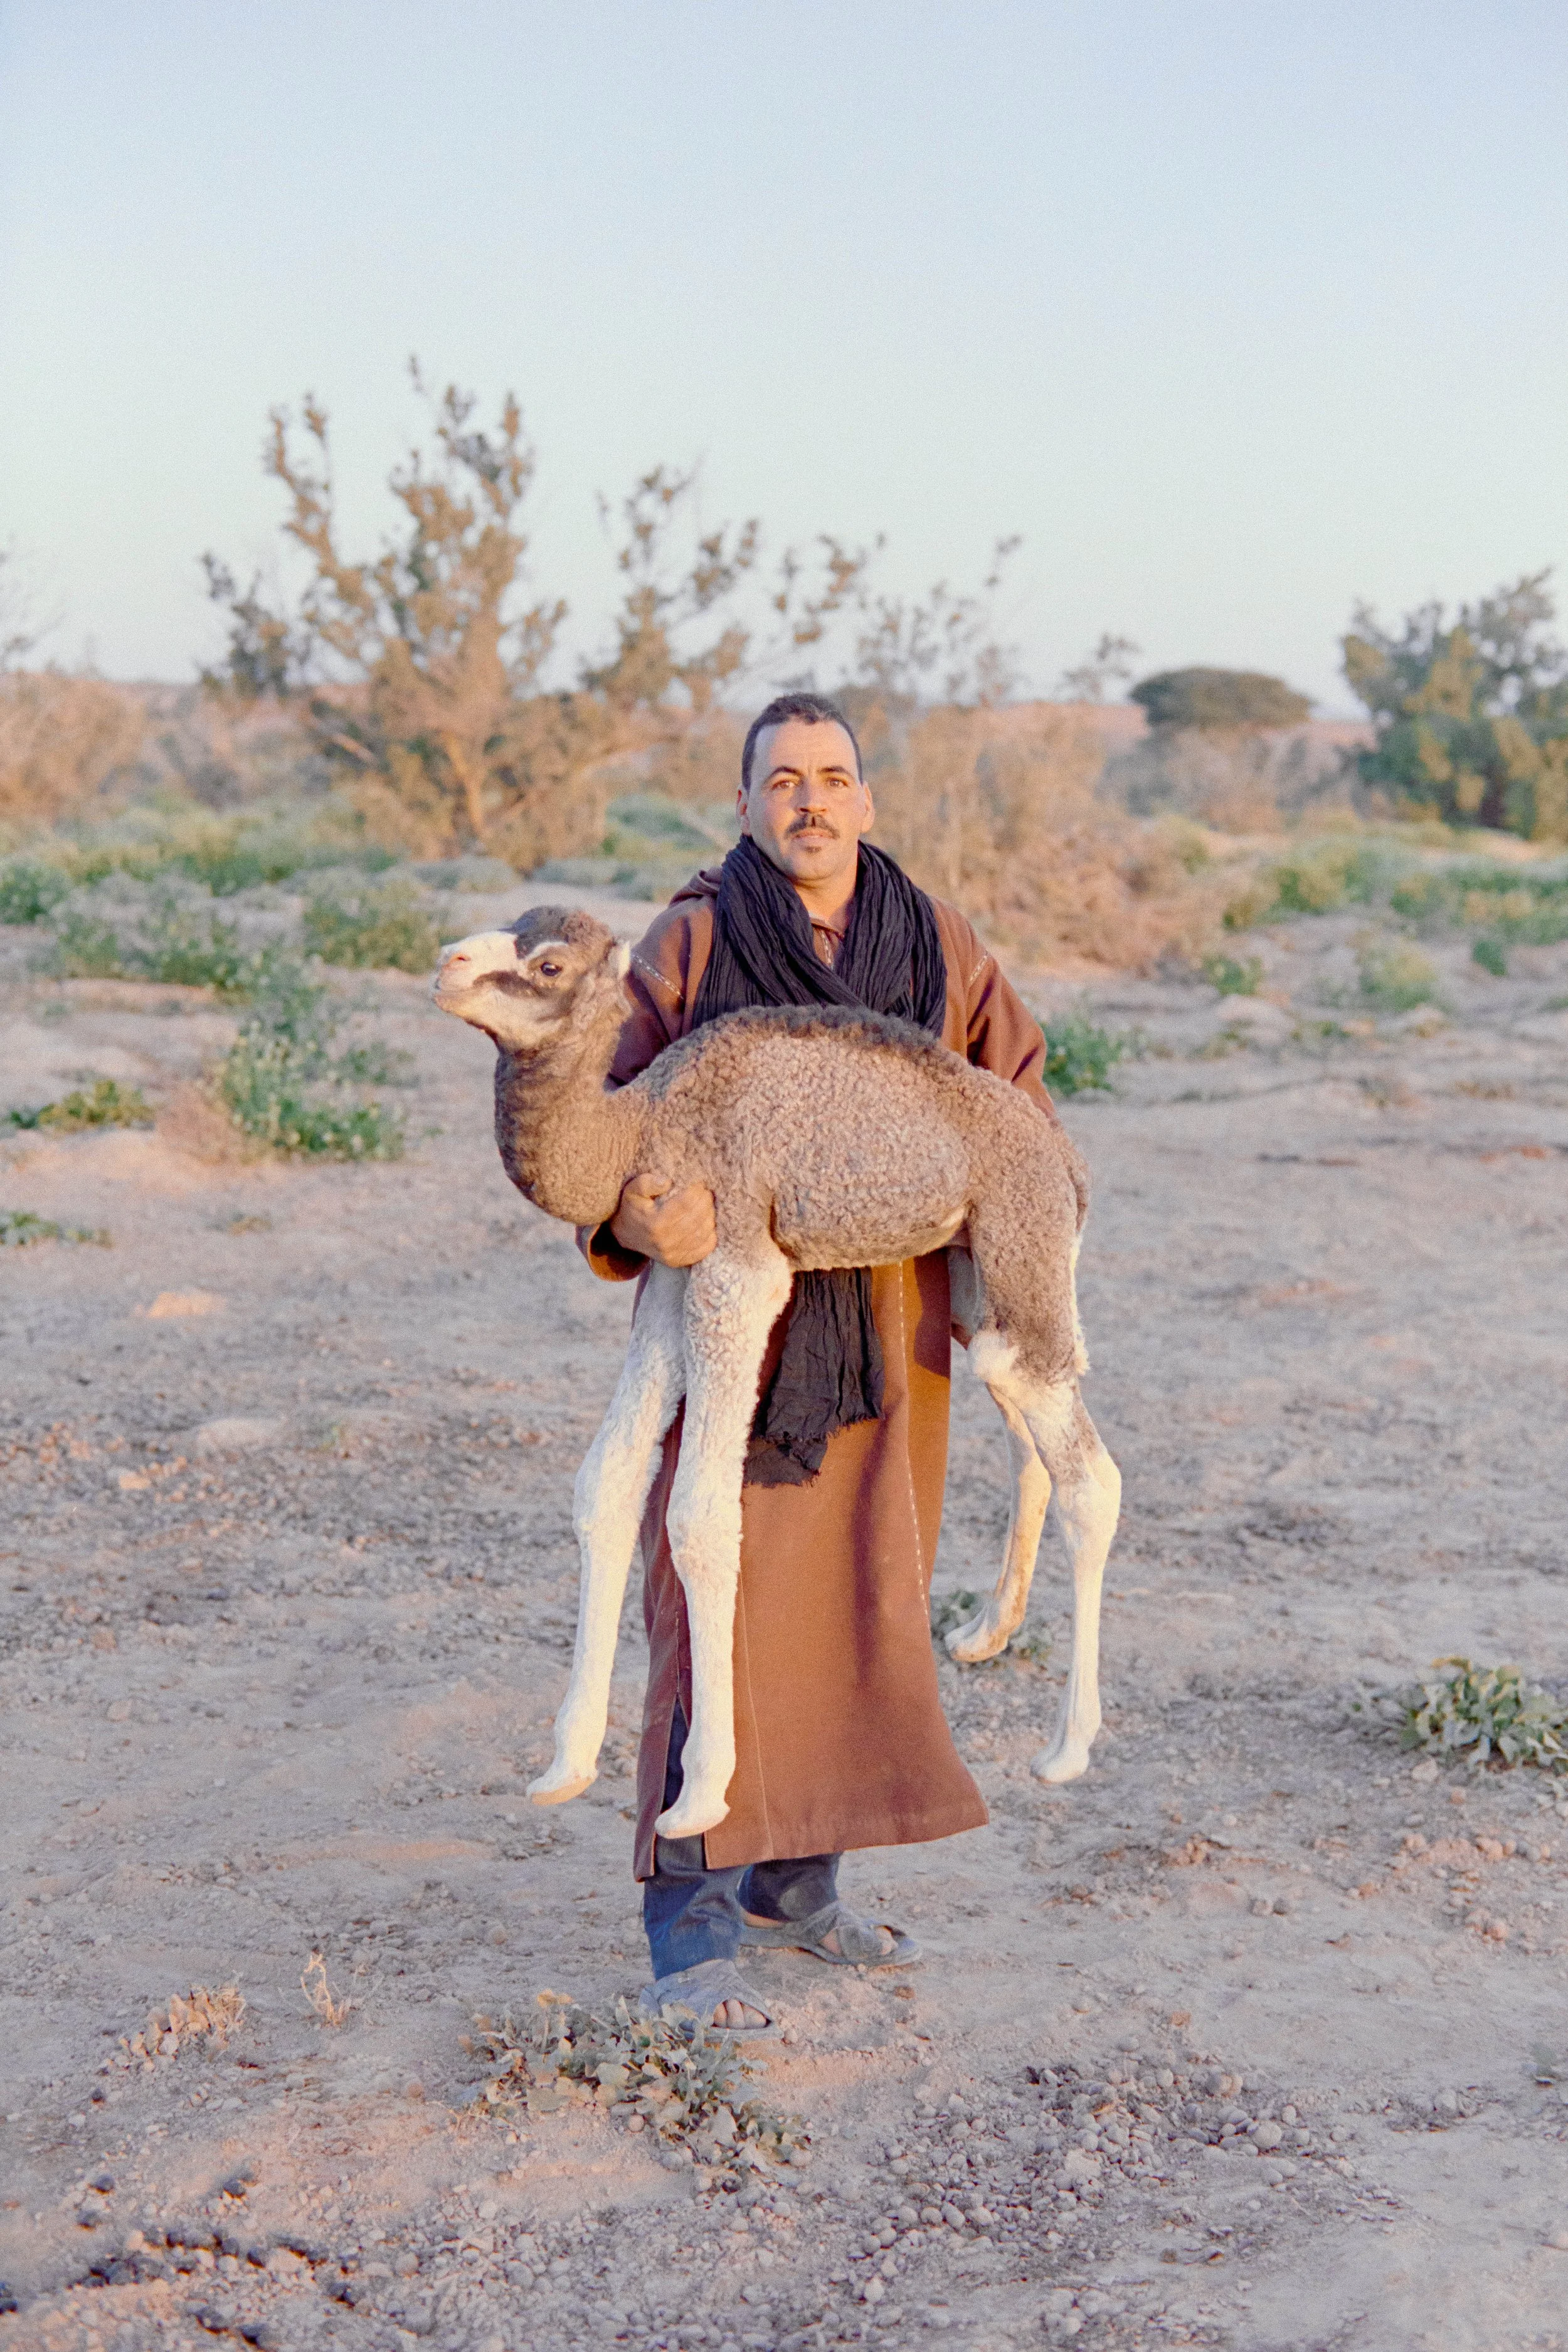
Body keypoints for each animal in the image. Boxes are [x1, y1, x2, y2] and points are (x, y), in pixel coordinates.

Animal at [432, 905, 1122, 1841]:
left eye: (547, 964)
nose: (447, 963)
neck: (644, 1121)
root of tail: (1068, 1163)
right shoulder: (672, 1268)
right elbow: (605, 1481)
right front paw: (565, 1764)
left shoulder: (740, 1266)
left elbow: (698, 1513)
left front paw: (699, 1794)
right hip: (981, 1275)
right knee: (1022, 1408)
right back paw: (983, 1632)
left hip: (1026, 1236)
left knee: (1090, 1471)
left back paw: (1066, 1749)